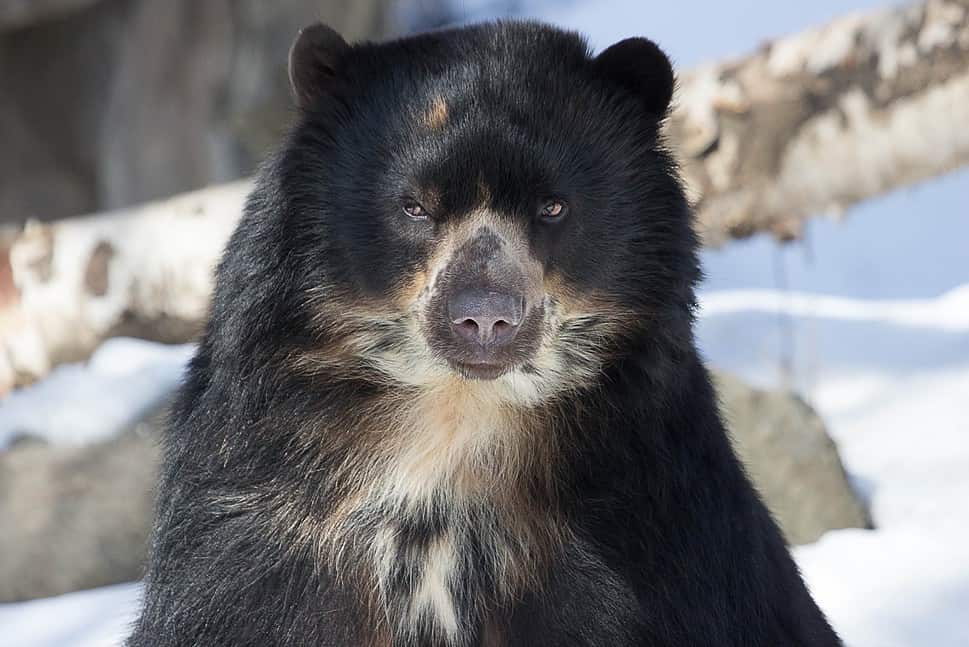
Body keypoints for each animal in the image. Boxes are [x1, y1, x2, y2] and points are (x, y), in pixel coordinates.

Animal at [129, 21, 842, 647]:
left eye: (553, 206)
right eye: (414, 206)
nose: (484, 318)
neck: (453, 419)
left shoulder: (644, 527)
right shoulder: (258, 525)